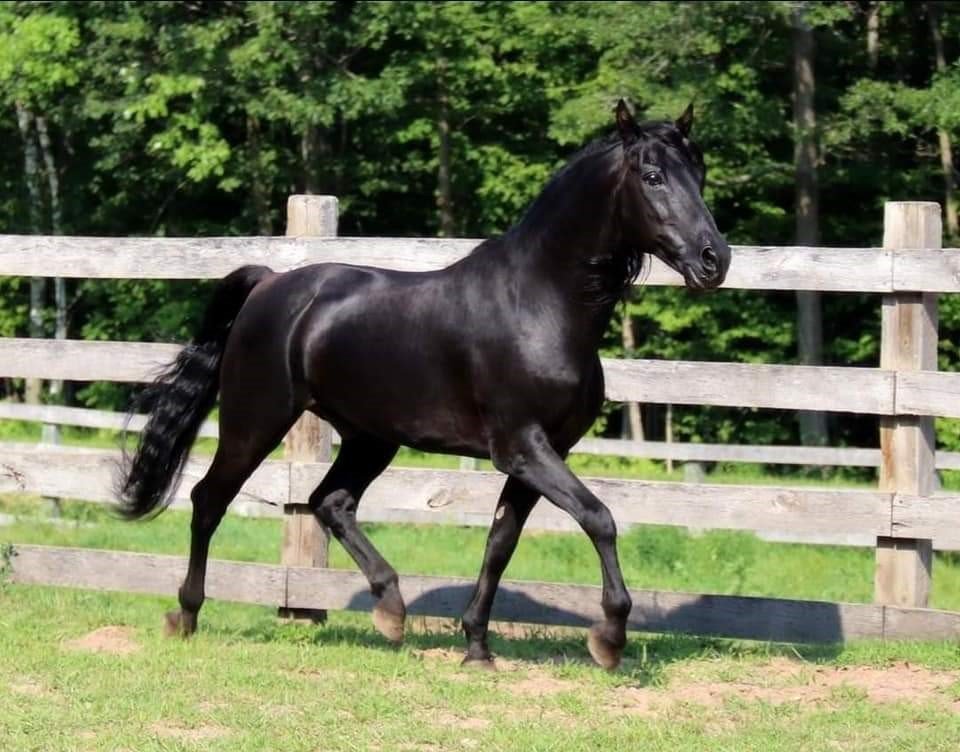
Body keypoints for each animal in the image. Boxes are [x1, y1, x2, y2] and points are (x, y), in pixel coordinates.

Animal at [117, 100, 730, 670]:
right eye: (652, 176)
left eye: (699, 173)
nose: (714, 260)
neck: (539, 303)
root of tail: (270, 284)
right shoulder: (522, 447)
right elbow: (599, 518)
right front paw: (609, 638)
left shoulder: (540, 453)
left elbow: (500, 542)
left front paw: (477, 647)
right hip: (257, 420)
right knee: (209, 499)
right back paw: (185, 615)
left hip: (369, 437)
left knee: (329, 502)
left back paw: (391, 610)